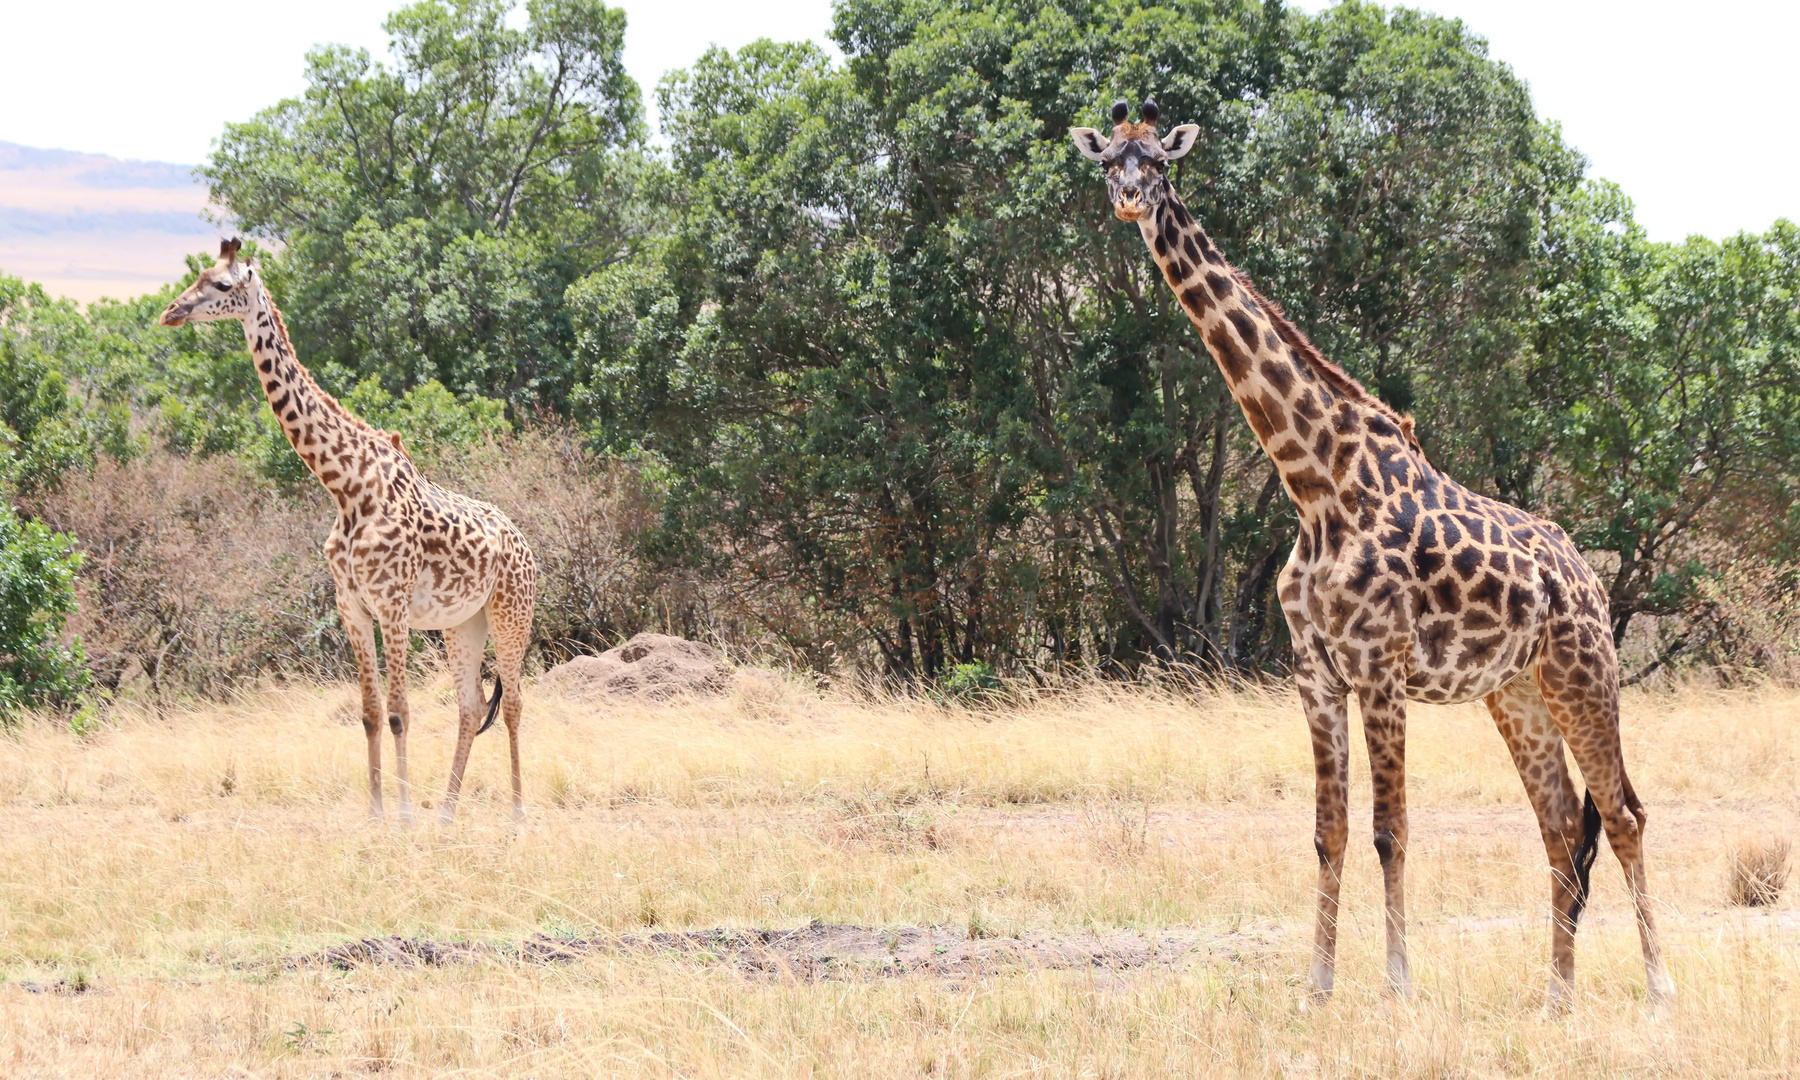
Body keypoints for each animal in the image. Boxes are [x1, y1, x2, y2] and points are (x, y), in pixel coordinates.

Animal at [162, 241, 532, 824]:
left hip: (511, 611)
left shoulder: (393, 605)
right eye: (198, 274)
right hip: (462, 622)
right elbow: (370, 713)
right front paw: (377, 814)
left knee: (513, 702)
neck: (345, 485)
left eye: (221, 285)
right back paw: (447, 813)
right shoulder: (352, 606)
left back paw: (516, 815)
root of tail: (525, 543)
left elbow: (401, 712)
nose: (172, 312)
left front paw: (403, 816)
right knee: (471, 706)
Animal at [1065, 101, 1670, 1015]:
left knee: (1625, 813)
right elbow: (1330, 831)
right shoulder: (1315, 673)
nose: (1131, 200)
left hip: (1584, 673)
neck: (1313, 482)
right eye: (1108, 163)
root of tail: (1587, 577)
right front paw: (1316, 987)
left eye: (1160, 165)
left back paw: (1659, 986)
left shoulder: (1381, 667)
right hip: (1516, 692)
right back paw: (1555, 998)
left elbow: (1392, 830)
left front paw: (1397, 985)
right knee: (1563, 822)